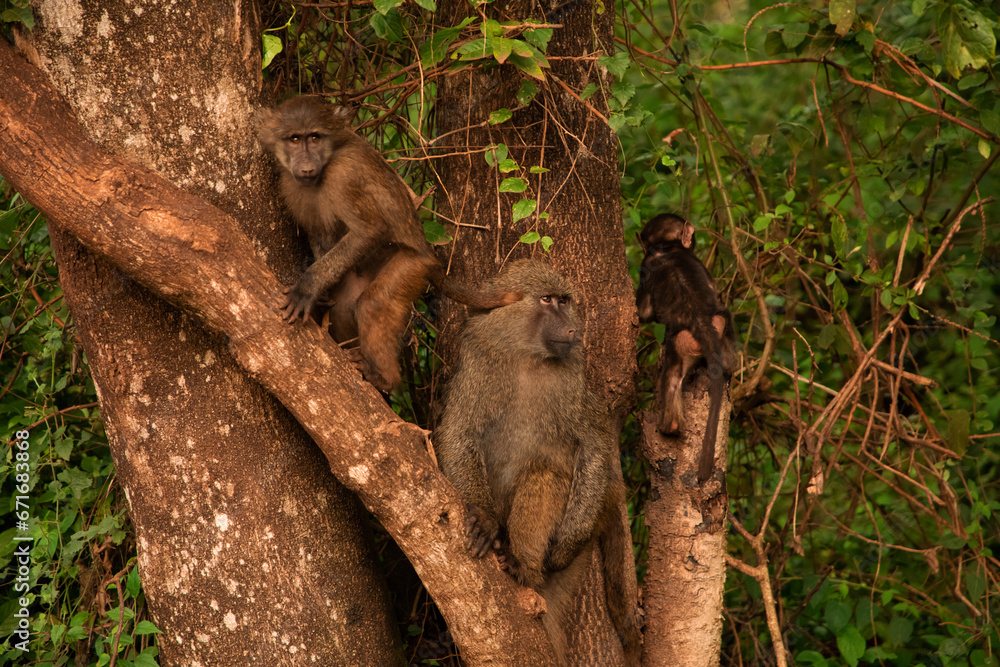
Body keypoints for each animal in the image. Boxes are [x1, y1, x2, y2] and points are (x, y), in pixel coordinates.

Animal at [256, 95, 439, 392]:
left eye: (314, 137)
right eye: (294, 139)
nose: (306, 168)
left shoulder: (344, 176)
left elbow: (368, 231)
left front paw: (307, 288)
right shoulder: (290, 186)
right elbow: (318, 234)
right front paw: (322, 293)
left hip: (413, 265)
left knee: (372, 305)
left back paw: (383, 378)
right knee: (345, 307)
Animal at [434, 260, 640, 665]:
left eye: (564, 300)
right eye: (546, 300)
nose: (574, 330)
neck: (525, 355)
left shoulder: (573, 376)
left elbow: (594, 445)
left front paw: (563, 544)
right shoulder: (477, 361)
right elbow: (458, 432)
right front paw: (483, 519)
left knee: (546, 476)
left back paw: (522, 568)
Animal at [636, 213, 737, 482]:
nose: (691, 239)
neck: (665, 248)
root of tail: (699, 321)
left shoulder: (644, 266)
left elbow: (643, 313)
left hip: (682, 341)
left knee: (671, 374)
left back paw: (666, 428)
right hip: (709, 330)